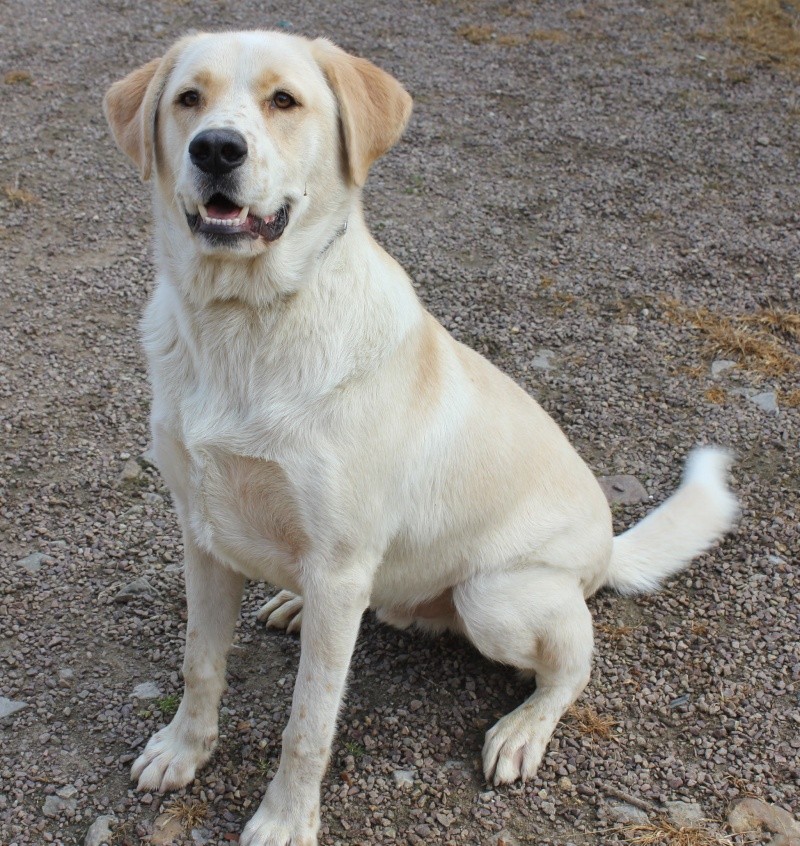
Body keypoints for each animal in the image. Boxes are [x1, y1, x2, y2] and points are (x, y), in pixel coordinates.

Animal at [104, 29, 736, 844]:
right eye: (189, 99)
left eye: (284, 101)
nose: (215, 148)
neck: (243, 324)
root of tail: (606, 550)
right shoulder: (204, 535)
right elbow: (200, 664)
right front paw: (184, 750)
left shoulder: (340, 566)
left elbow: (308, 722)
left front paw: (285, 819)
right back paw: (293, 605)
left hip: (496, 595)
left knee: (573, 663)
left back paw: (524, 727)